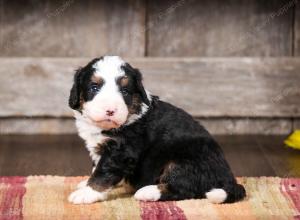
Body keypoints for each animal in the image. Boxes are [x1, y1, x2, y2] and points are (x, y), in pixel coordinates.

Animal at [68, 55, 246, 204]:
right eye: (94, 87)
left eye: (125, 91)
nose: (110, 110)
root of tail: (229, 177)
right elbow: (97, 167)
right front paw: (86, 183)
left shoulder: (121, 150)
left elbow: (103, 172)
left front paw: (87, 193)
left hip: (185, 161)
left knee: (185, 188)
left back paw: (147, 192)